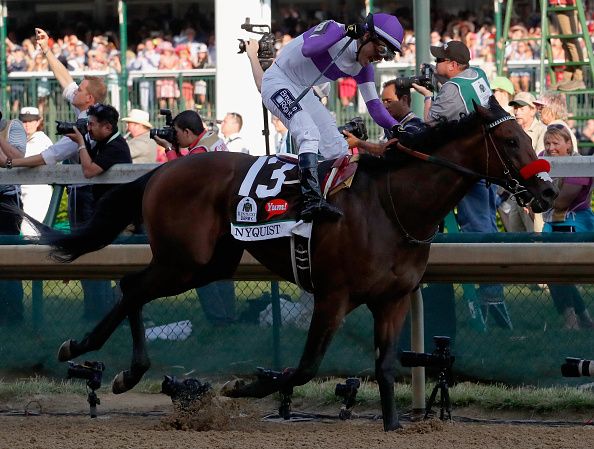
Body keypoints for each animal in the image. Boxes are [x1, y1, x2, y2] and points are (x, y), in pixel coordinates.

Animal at [28, 96, 556, 428]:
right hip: (184, 260)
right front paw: (243, 385)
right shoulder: (333, 295)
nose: (548, 192)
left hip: (210, 265)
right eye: (511, 142)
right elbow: (303, 368)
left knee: (132, 285)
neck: (392, 207)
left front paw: (393, 424)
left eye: (528, 137)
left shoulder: (393, 300)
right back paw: (99, 357)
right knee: (132, 285)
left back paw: (110, 362)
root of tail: (164, 168)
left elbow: (386, 367)